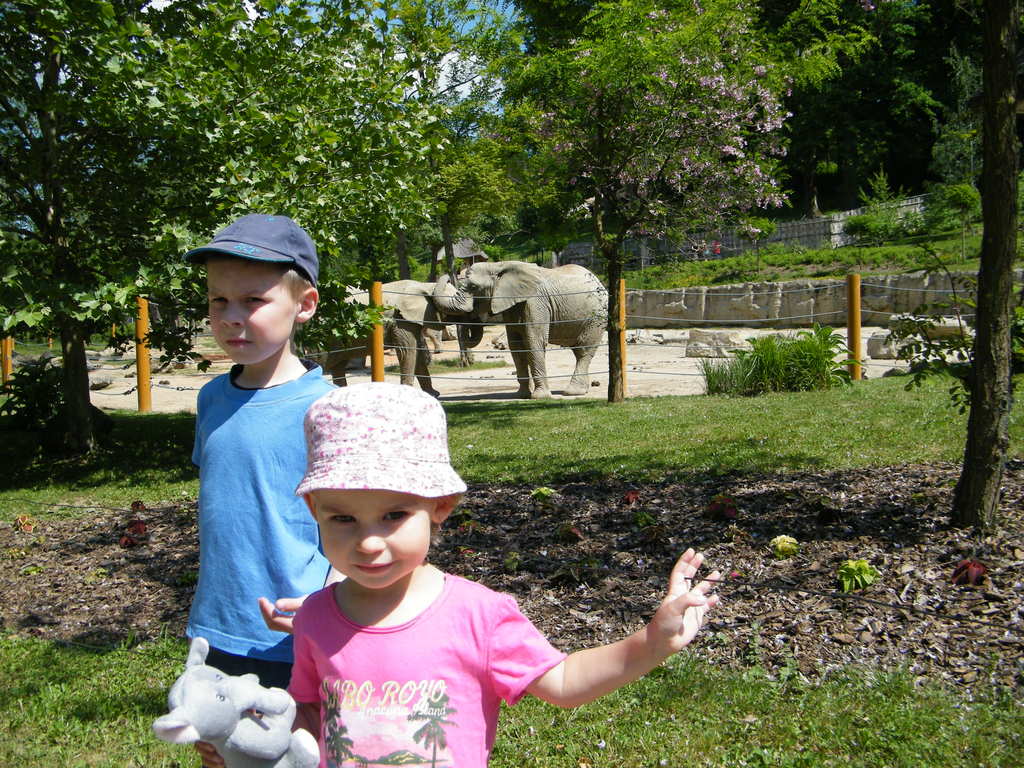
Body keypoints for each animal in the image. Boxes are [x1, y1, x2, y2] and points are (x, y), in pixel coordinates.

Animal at [321, 280, 462, 397]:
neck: (424, 285)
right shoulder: (400, 320)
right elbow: (408, 352)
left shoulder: (411, 320)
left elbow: (417, 353)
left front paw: (433, 394)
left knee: (338, 365)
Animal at [432, 262, 606, 399]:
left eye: (474, 287)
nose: (449, 275)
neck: (498, 266)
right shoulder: (510, 305)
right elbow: (516, 346)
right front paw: (521, 395)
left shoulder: (535, 303)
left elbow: (534, 342)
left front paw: (540, 397)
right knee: (578, 351)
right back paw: (582, 390)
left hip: (596, 318)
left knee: (583, 350)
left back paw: (572, 392)